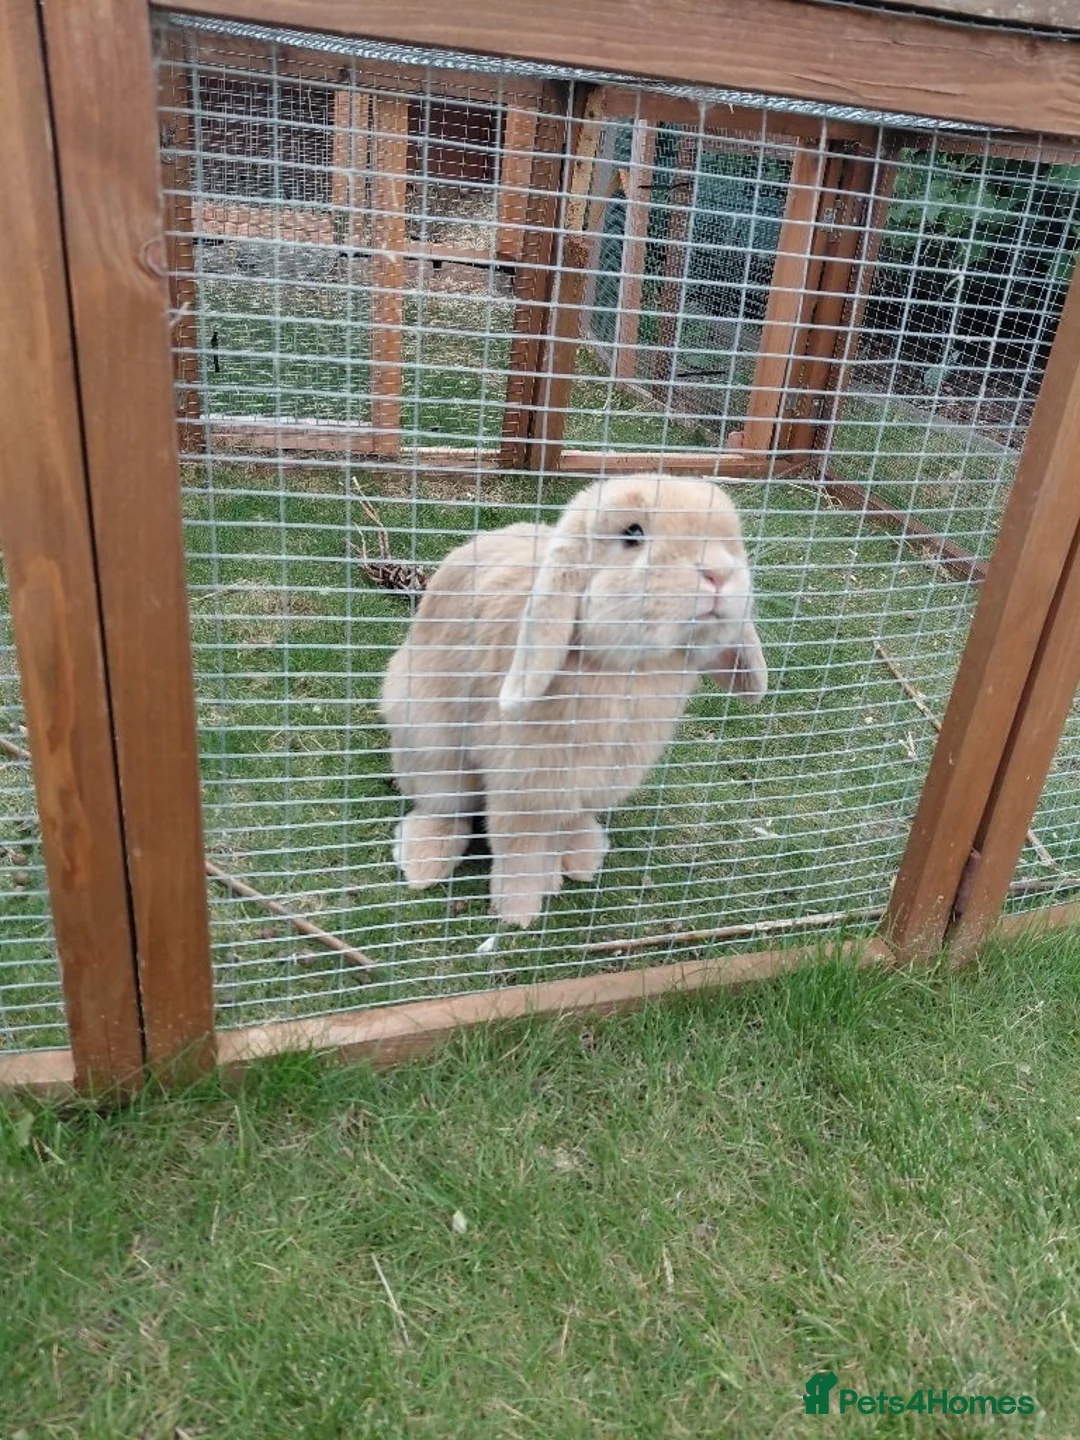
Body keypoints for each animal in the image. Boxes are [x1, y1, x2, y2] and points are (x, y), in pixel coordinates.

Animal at [379, 474, 767, 929]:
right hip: (429, 741)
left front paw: (556, 873)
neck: (628, 671)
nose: (719, 573)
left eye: (728, 540)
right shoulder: (525, 785)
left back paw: (584, 855)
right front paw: (519, 911)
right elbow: (522, 851)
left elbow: (557, 830)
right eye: (633, 534)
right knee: (442, 806)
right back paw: (423, 863)